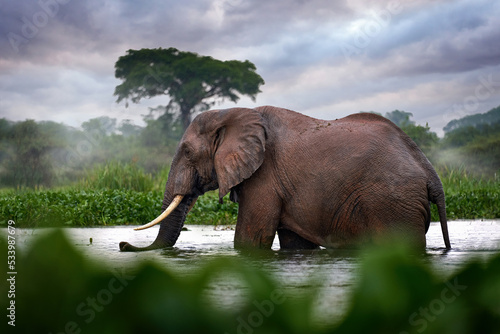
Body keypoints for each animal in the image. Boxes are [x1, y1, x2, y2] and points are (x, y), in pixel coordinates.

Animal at [119, 105, 452, 252]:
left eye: (187, 152)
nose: (123, 244)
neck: (231, 114)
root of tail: (428, 169)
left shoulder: (264, 176)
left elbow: (250, 239)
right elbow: (295, 243)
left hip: (393, 201)